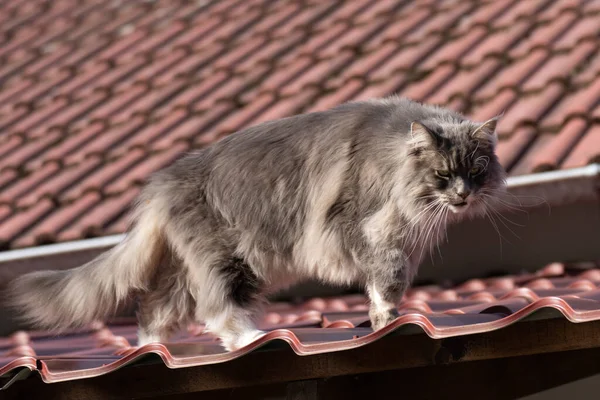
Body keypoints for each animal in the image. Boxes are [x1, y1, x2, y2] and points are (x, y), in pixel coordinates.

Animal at [9, 96, 506, 350]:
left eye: (476, 171)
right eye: (443, 174)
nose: (463, 195)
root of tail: (160, 184)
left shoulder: (399, 236)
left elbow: (387, 280)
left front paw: (385, 315)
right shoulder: (357, 228)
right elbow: (386, 276)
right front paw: (386, 313)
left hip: (191, 270)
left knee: (155, 310)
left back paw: (149, 349)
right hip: (231, 258)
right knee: (215, 309)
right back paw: (249, 336)